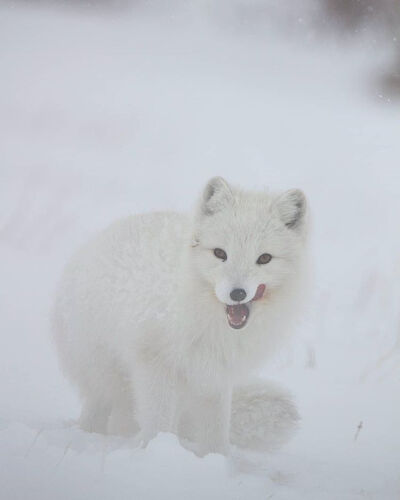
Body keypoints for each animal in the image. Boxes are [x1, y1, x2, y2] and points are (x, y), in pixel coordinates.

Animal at [53, 178, 308, 456]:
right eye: (220, 253)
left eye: (264, 258)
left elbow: (216, 430)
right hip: (102, 371)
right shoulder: (155, 364)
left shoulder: (216, 376)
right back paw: (89, 436)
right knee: (98, 406)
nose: (237, 293)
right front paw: (156, 449)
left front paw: (216, 458)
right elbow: (158, 422)